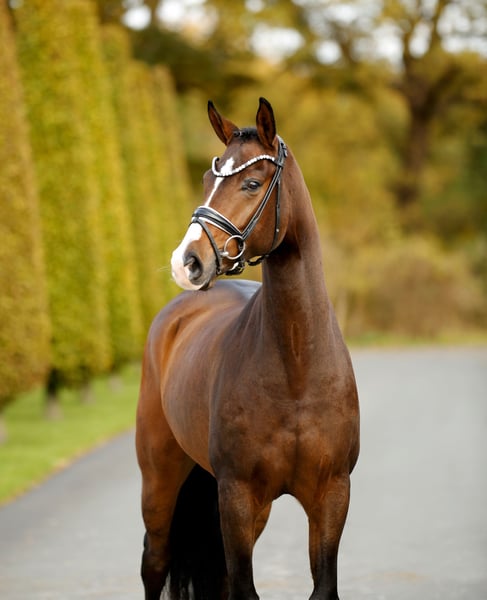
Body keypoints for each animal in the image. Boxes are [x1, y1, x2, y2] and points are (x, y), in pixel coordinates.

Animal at [136, 98, 360, 600]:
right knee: (154, 562)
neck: (297, 366)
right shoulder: (237, 496)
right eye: (207, 179)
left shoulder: (331, 496)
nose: (187, 262)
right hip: (159, 481)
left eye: (252, 183)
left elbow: (323, 585)